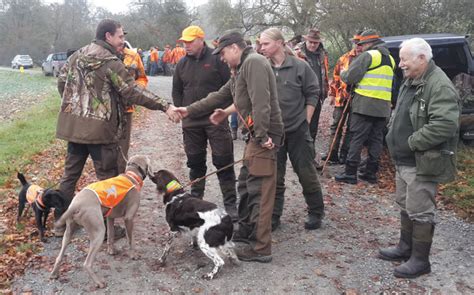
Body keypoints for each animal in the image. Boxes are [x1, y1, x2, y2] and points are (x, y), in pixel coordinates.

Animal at [49, 155, 150, 290]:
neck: (131, 176)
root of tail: (76, 204)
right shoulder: (128, 218)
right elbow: (130, 240)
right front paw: (133, 255)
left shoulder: (110, 217)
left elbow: (111, 236)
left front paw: (111, 251)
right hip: (99, 231)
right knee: (87, 263)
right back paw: (99, 282)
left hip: (69, 231)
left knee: (59, 256)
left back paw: (54, 274)